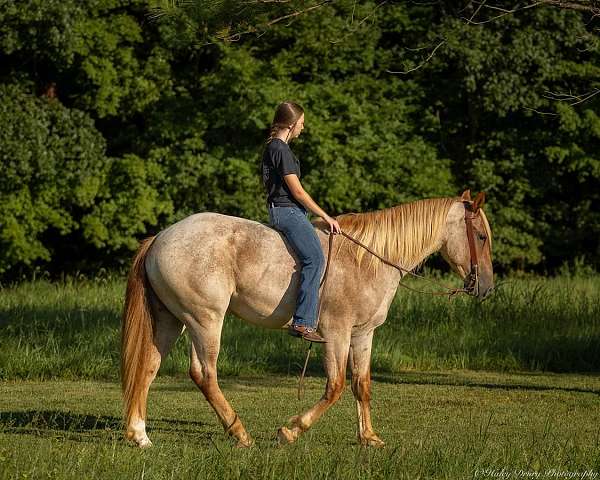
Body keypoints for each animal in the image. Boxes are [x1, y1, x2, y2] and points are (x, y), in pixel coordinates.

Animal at [120, 189, 492, 448]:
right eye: (482, 236)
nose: (486, 287)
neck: (368, 261)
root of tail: (160, 238)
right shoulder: (337, 333)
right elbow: (335, 386)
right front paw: (290, 431)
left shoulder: (363, 334)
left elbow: (362, 385)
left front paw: (369, 437)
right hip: (205, 320)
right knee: (204, 374)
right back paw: (240, 433)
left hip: (171, 320)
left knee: (148, 367)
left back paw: (140, 436)